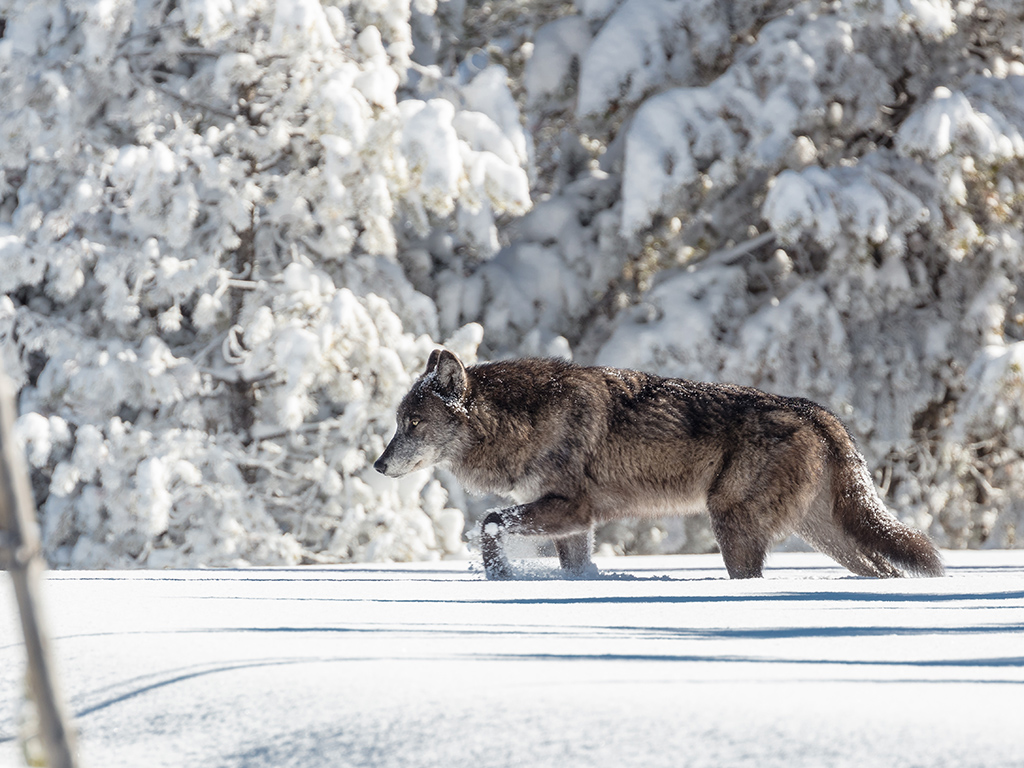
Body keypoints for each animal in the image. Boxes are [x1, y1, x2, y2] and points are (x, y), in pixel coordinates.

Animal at [376, 352, 942, 581]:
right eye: (398, 423)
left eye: (412, 424)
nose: (379, 465)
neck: (522, 419)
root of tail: (814, 411)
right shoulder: (575, 523)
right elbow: (572, 566)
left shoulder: (570, 508)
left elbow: (488, 523)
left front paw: (499, 577)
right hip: (824, 535)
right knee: (884, 569)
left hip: (733, 524)